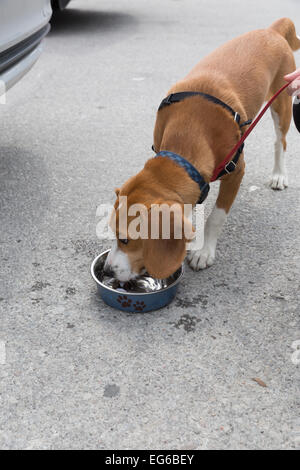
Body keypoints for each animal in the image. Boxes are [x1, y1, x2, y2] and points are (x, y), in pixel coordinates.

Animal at [104, 18, 298, 280]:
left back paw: (279, 175)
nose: (107, 271)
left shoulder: (236, 172)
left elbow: (216, 217)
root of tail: (272, 30)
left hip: (282, 102)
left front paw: (204, 251)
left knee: (280, 142)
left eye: (125, 239)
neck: (190, 129)